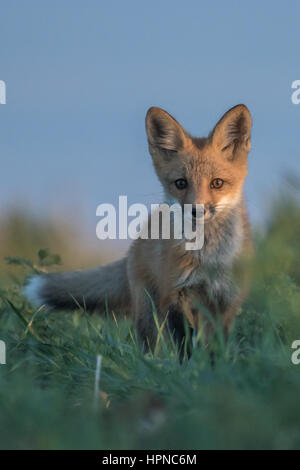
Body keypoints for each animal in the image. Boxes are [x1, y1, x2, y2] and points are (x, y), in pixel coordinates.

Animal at [24, 104, 252, 354]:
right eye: (181, 183)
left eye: (217, 183)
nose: (197, 211)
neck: (209, 257)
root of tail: (134, 246)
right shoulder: (174, 295)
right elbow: (185, 347)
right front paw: (189, 364)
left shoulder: (226, 300)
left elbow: (215, 349)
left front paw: (214, 363)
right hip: (148, 311)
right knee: (152, 347)